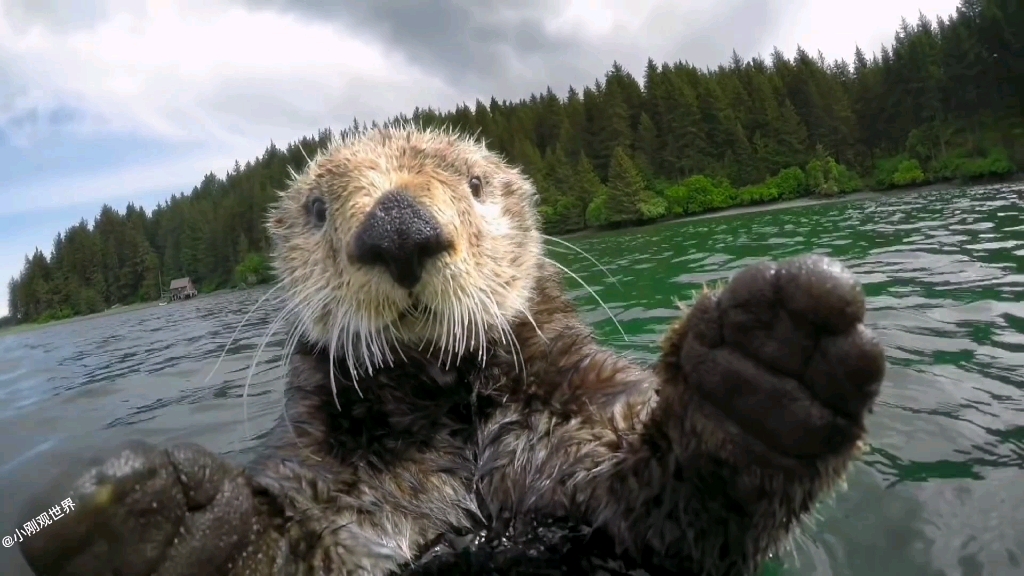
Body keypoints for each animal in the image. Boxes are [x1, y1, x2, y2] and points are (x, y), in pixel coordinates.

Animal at [16, 126, 884, 573]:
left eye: (472, 183)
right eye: (319, 207)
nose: (398, 226)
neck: (442, 405)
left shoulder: (571, 426)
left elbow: (662, 504)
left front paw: (765, 375)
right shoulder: (346, 487)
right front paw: (185, 526)